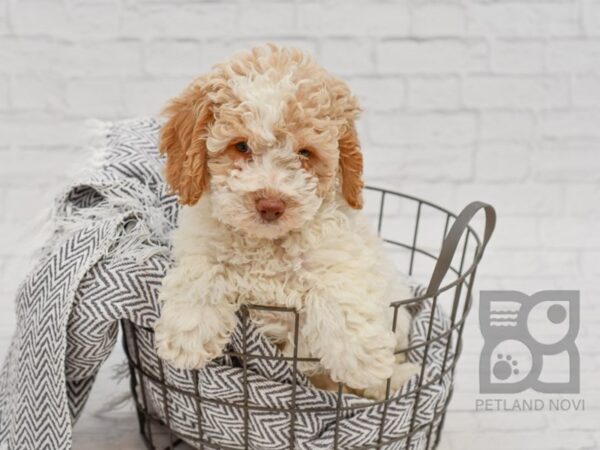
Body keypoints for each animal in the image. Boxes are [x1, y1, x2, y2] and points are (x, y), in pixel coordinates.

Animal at [152, 44, 420, 400]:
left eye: (305, 153)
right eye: (241, 146)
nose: (271, 204)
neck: (266, 244)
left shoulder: (336, 251)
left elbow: (341, 290)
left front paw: (364, 359)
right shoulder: (202, 245)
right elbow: (201, 273)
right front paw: (187, 335)